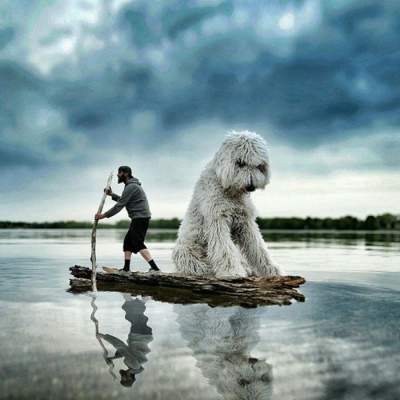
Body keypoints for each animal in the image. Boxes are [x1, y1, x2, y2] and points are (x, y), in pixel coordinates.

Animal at [172, 130, 282, 276]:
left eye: (258, 165)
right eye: (240, 163)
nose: (251, 186)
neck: (230, 191)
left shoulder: (245, 222)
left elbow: (259, 248)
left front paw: (273, 271)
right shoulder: (217, 220)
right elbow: (224, 248)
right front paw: (232, 272)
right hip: (190, 255)